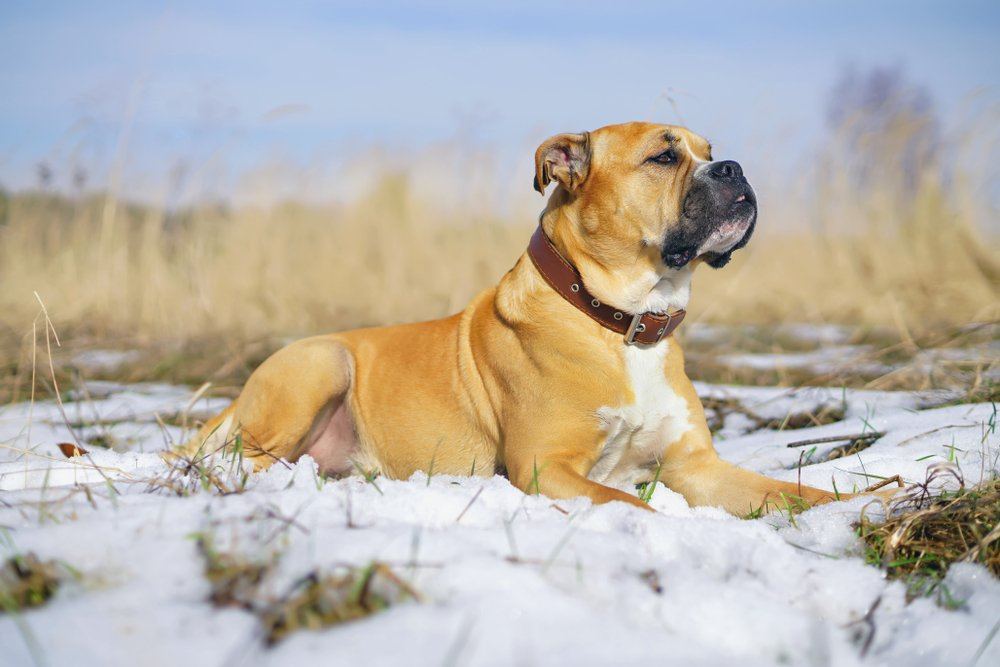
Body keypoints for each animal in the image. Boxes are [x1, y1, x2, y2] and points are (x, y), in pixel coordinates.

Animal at [174, 121, 900, 516]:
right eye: (664, 156)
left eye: (709, 147)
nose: (735, 167)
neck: (621, 321)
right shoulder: (544, 466)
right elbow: (629, 501)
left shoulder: (696, 465)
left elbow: (788, 491)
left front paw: (861, 506)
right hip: (321, 362)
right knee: (244, 460)